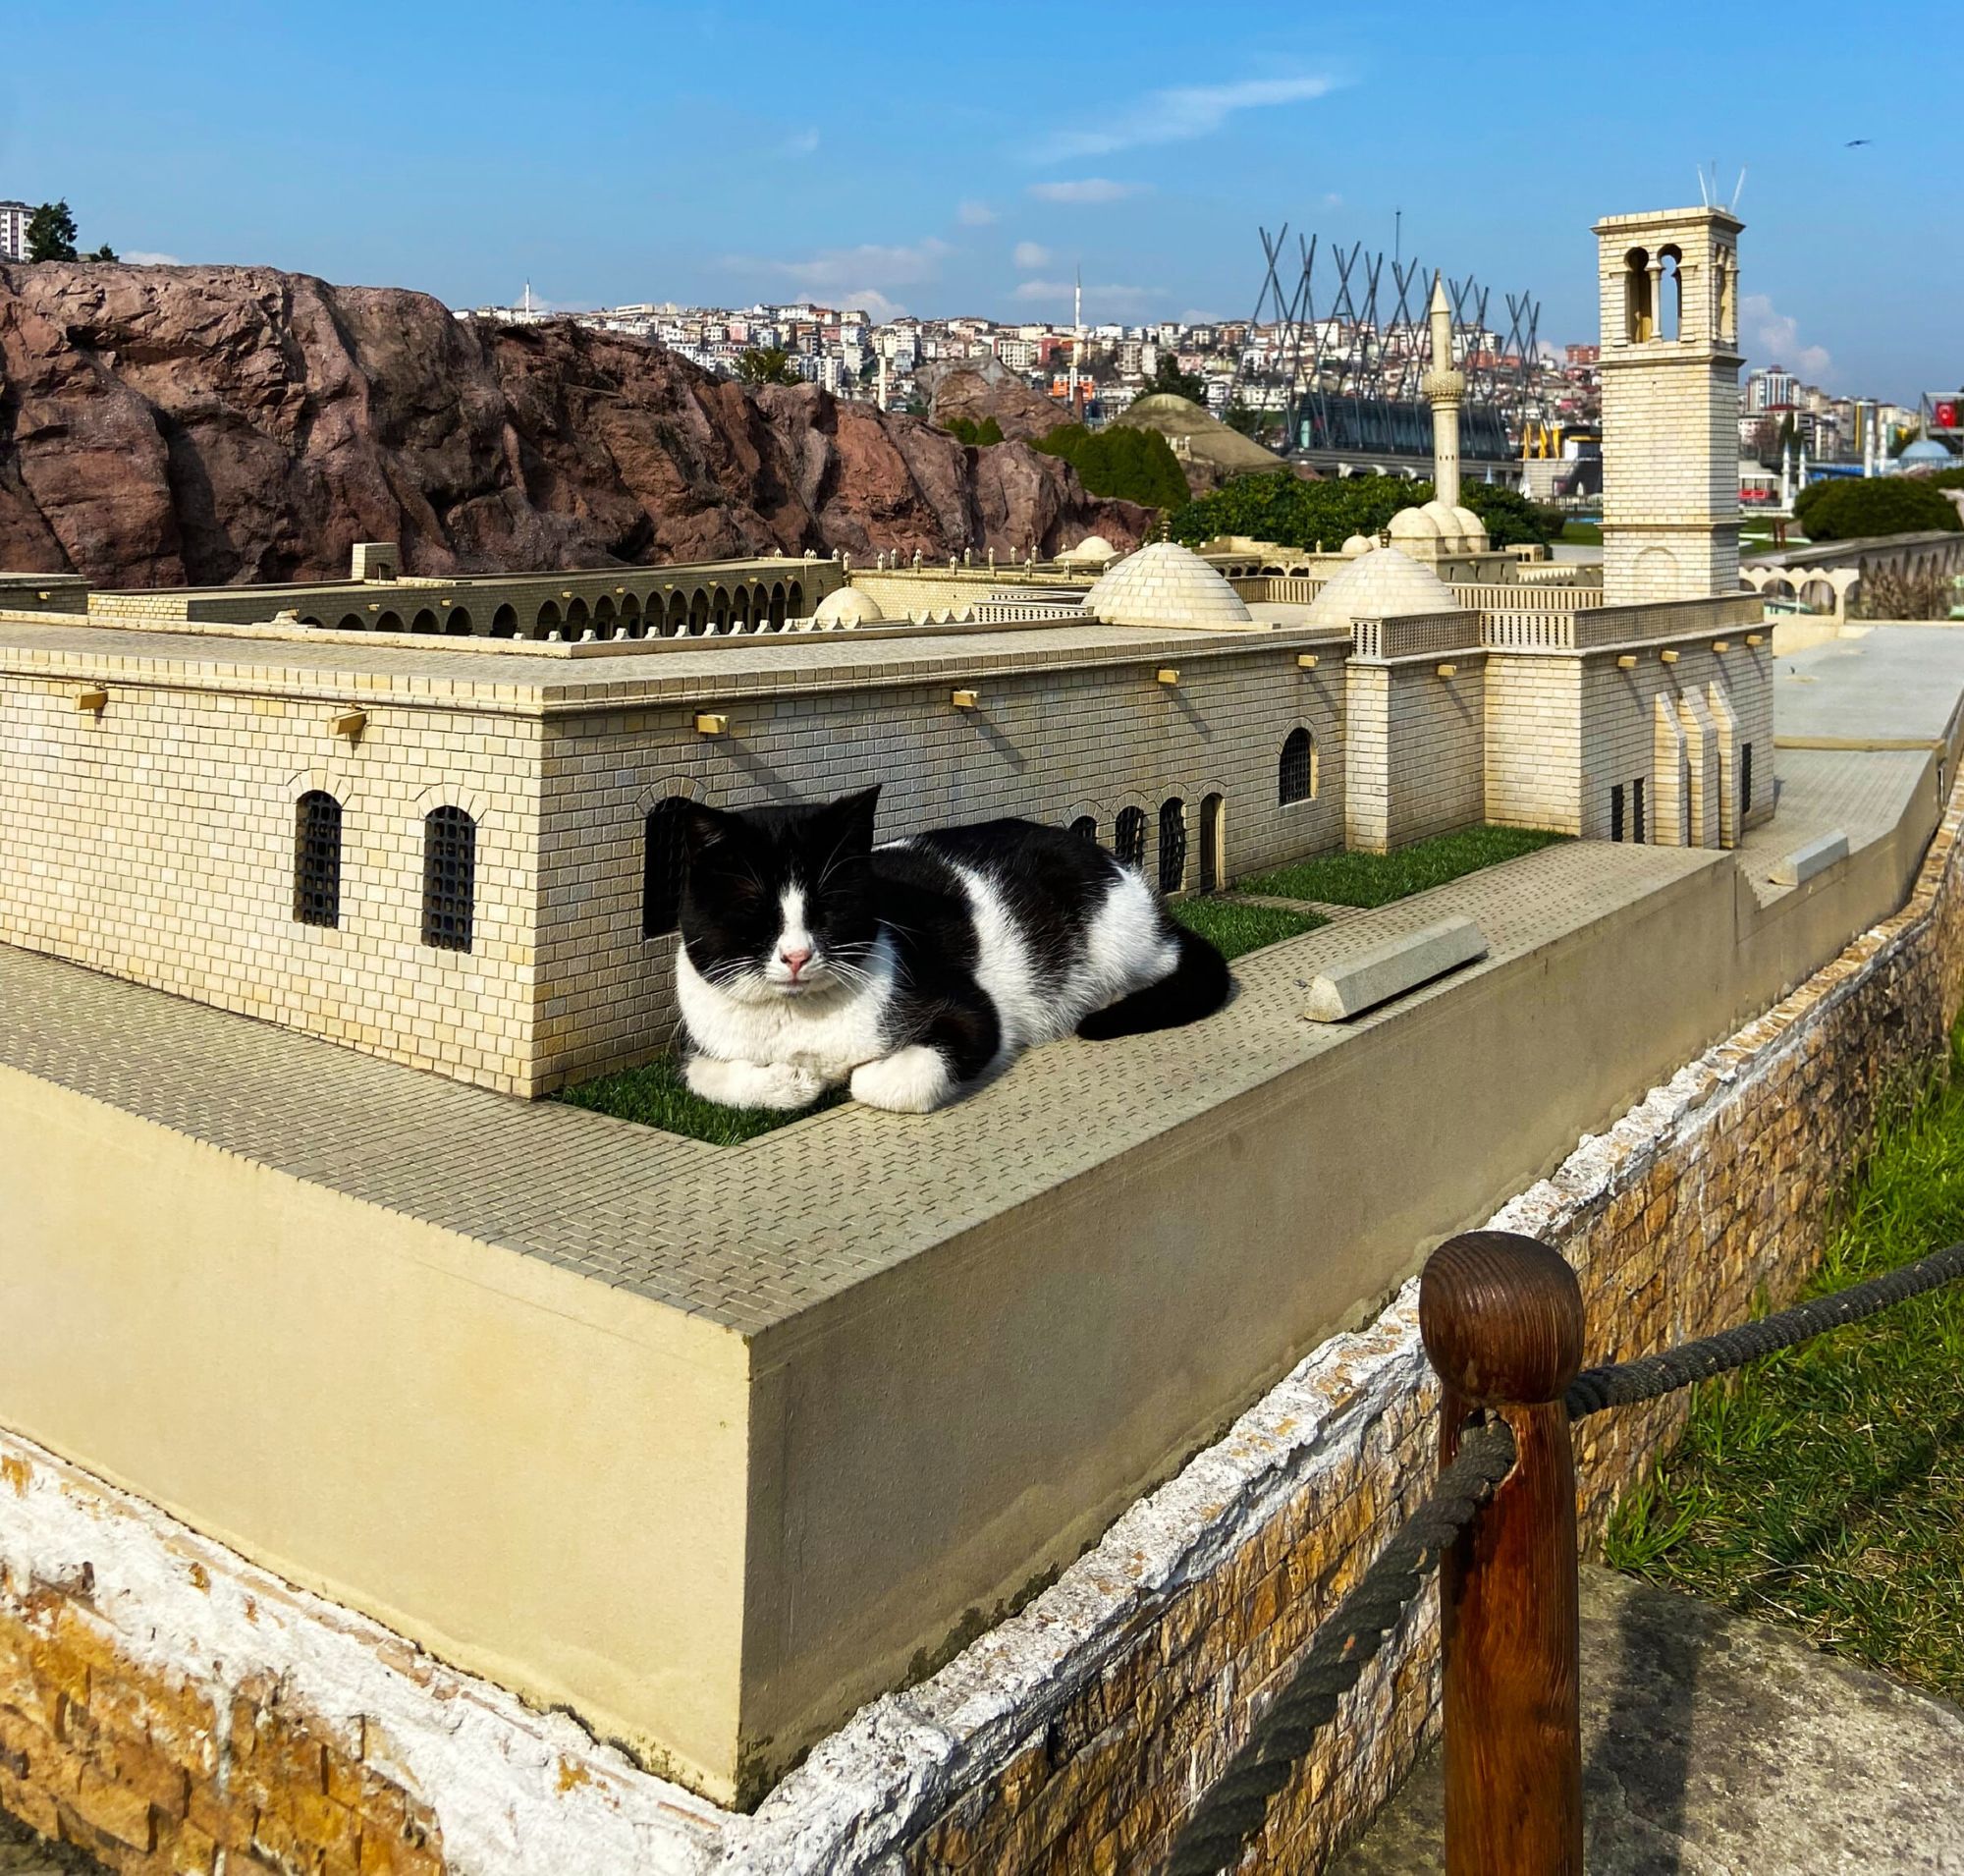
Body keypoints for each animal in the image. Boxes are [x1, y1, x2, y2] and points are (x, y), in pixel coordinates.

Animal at [676, 782, 1226, 1108]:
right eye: (757, 909)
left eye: (826, 905)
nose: (796, 956)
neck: (797, 1018)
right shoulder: (705, 1042)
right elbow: (702, 1074)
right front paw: (793, 1080)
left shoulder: (973, 1012)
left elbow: (876, 1081)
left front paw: (839, 1076)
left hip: (1115, 936)